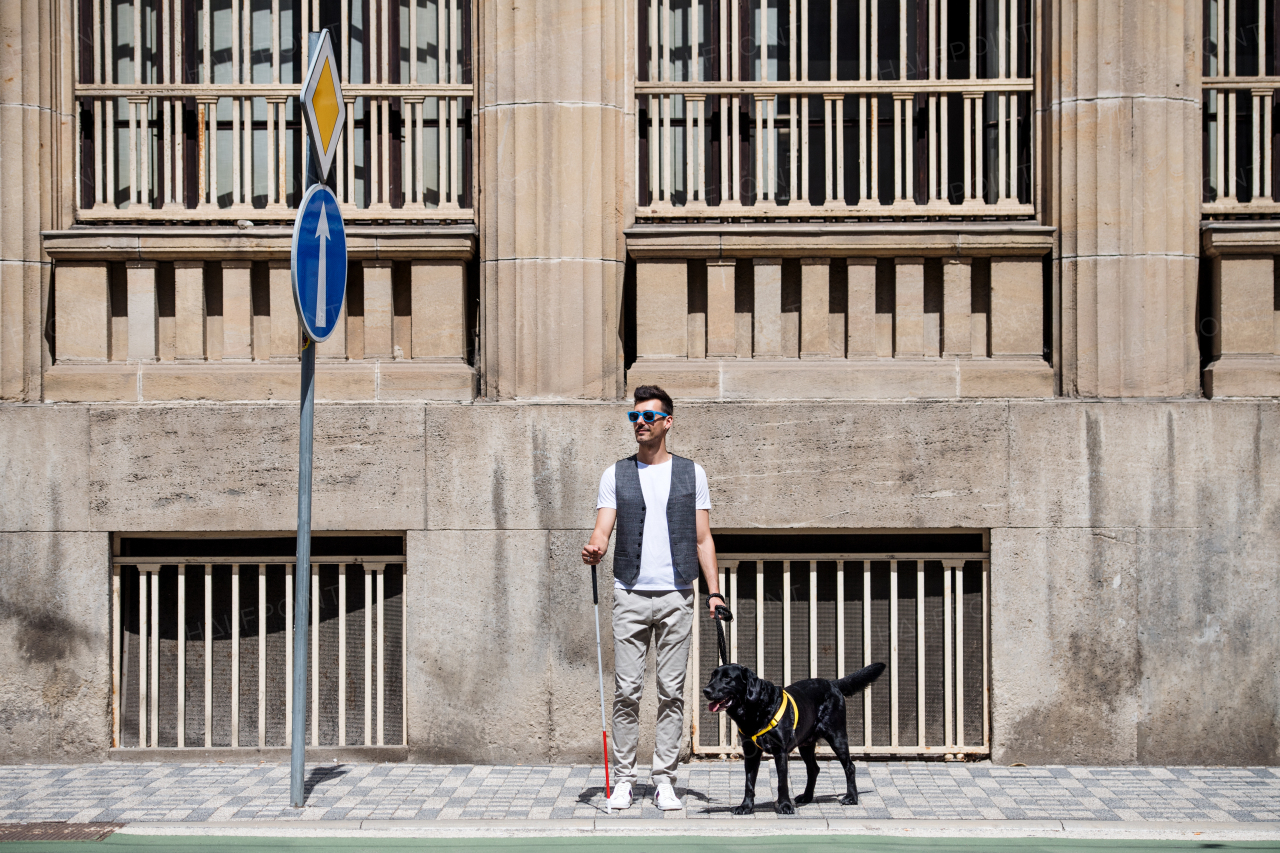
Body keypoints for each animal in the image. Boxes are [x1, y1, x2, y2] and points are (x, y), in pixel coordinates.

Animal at [706, 655, 885, 809]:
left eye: (727, 678)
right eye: (712, 676)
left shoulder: (780, 751)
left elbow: (782, 782)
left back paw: (851, 798)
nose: (705, 690)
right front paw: (746, 807)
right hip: (805, 745)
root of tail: (832, 684)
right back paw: (807, 797)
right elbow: (749, 782)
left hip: (837, 737)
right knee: (814, 769)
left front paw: (785, 806)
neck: (757, 709)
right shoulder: (751, 752)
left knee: (850, 766)